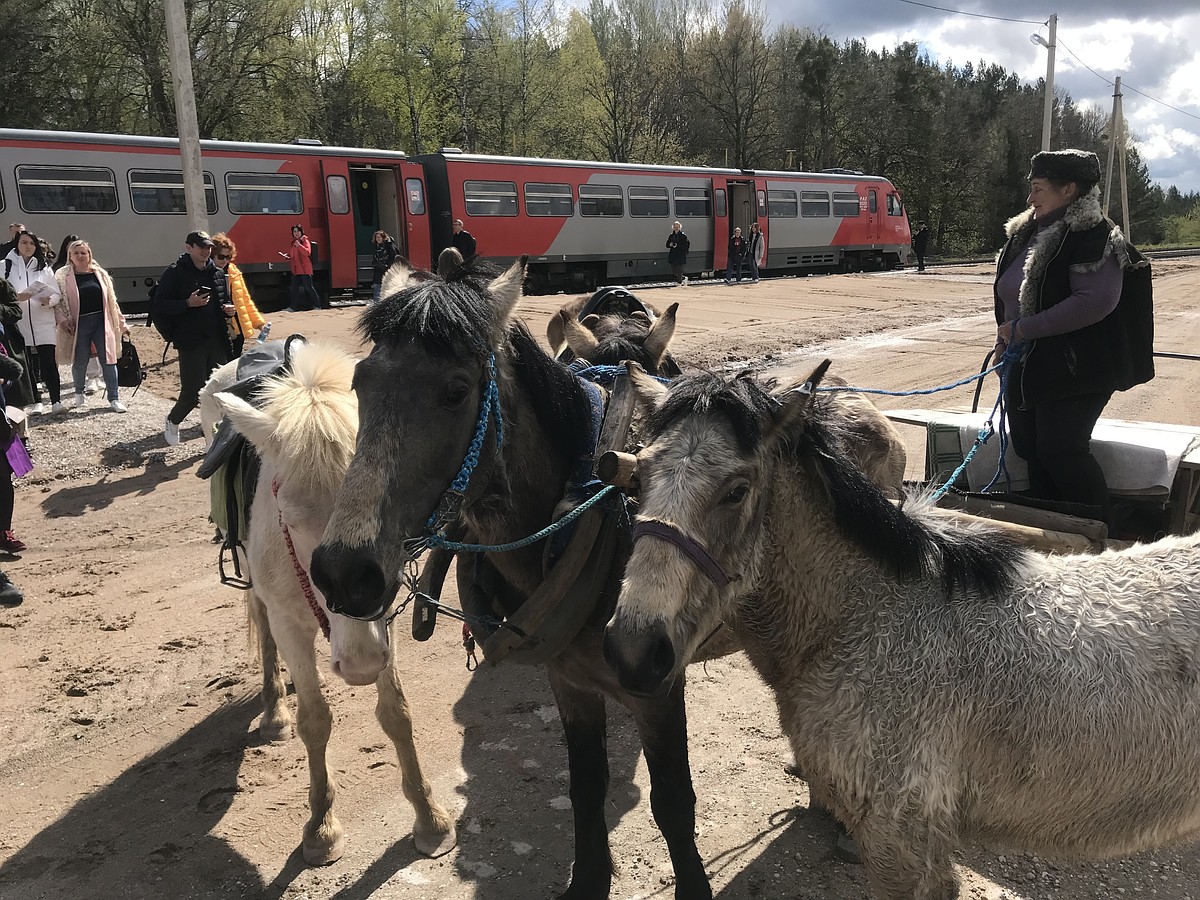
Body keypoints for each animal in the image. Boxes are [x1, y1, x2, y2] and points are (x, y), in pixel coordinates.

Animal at [213, 343, 456, 868]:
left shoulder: (383, 617)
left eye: (399, 512)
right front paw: (321, 829)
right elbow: (316, 720)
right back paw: (274, 712)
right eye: (289, 518)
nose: (360, 663)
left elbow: (397, 713)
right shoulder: (291, 623)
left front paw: (430, 819)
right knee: (262, 626)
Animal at [309, 260, 715, 900]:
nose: (343, 573)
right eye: (360, 385)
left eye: (456, 391)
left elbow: (674, 802)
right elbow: (585, 786)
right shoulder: (569, 679)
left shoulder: (657, 692)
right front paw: (588, 878)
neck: (594, 506)